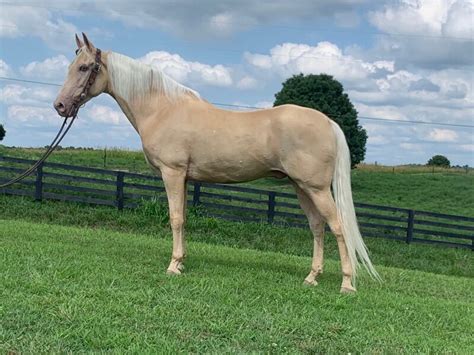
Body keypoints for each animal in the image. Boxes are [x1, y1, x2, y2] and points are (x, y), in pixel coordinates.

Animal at [53, 34, 380, 294]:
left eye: (84, 68)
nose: (60, 106)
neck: (162, 108)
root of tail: (328, 121)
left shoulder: (172, 173)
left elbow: (175, 218)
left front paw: (172, 266)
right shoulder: (184, 178)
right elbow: (184, 218)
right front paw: (181, 263)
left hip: (317, 188)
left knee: (338, 226)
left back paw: (346, 283)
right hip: (302, 188)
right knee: (317, 227)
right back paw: (311, 277)